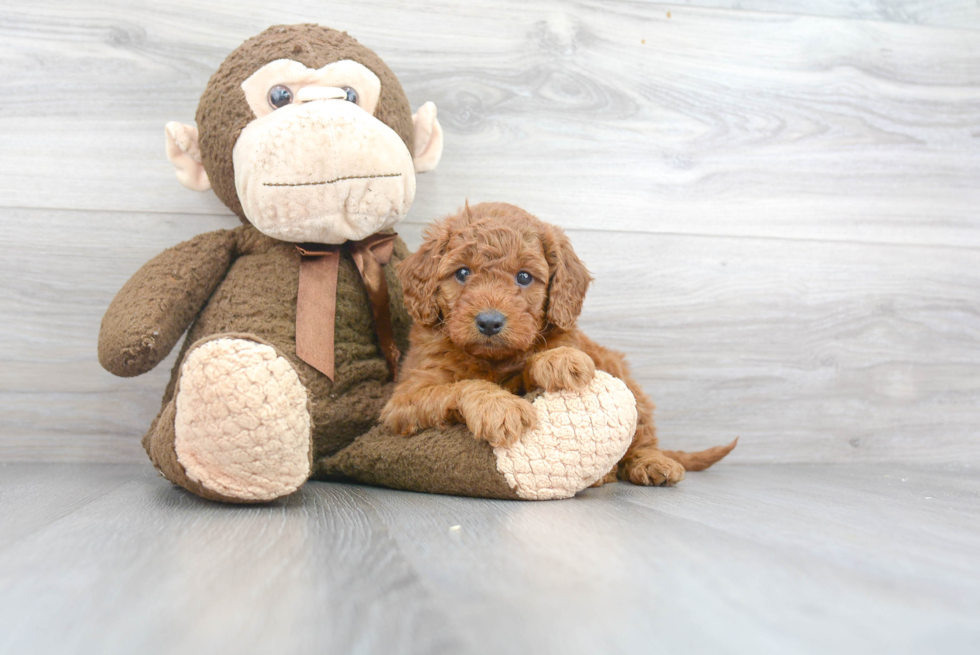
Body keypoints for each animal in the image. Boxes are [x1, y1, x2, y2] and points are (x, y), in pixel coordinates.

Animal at [382, 202, 736, 484]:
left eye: (524, 277)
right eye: (462, 272)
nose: (490, 322)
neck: (494, 360)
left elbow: (544, 357)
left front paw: (559, 359)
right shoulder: (404, 399)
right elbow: (460, 386)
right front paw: (500, 407)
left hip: (624, 378)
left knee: (642, 436)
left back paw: (650, 463)